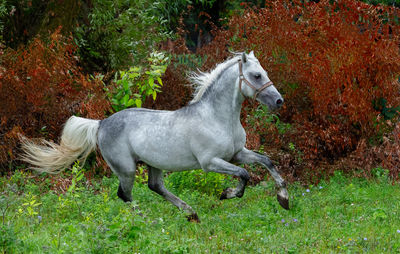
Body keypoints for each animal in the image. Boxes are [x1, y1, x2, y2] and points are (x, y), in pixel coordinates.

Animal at [21, 51, 290, 220]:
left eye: (264, 72)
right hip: (127, 169)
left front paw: (284, 199)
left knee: (155, 186)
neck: (216, 117)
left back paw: (190, 213)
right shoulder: (211, 162)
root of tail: (101, 123)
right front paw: (227, 194)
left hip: (153, 164)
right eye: (257, 75)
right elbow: (244, 175)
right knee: (125, 195)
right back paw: (147, 219)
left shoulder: (237, 154)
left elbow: (267, 162)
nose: (279, 101)